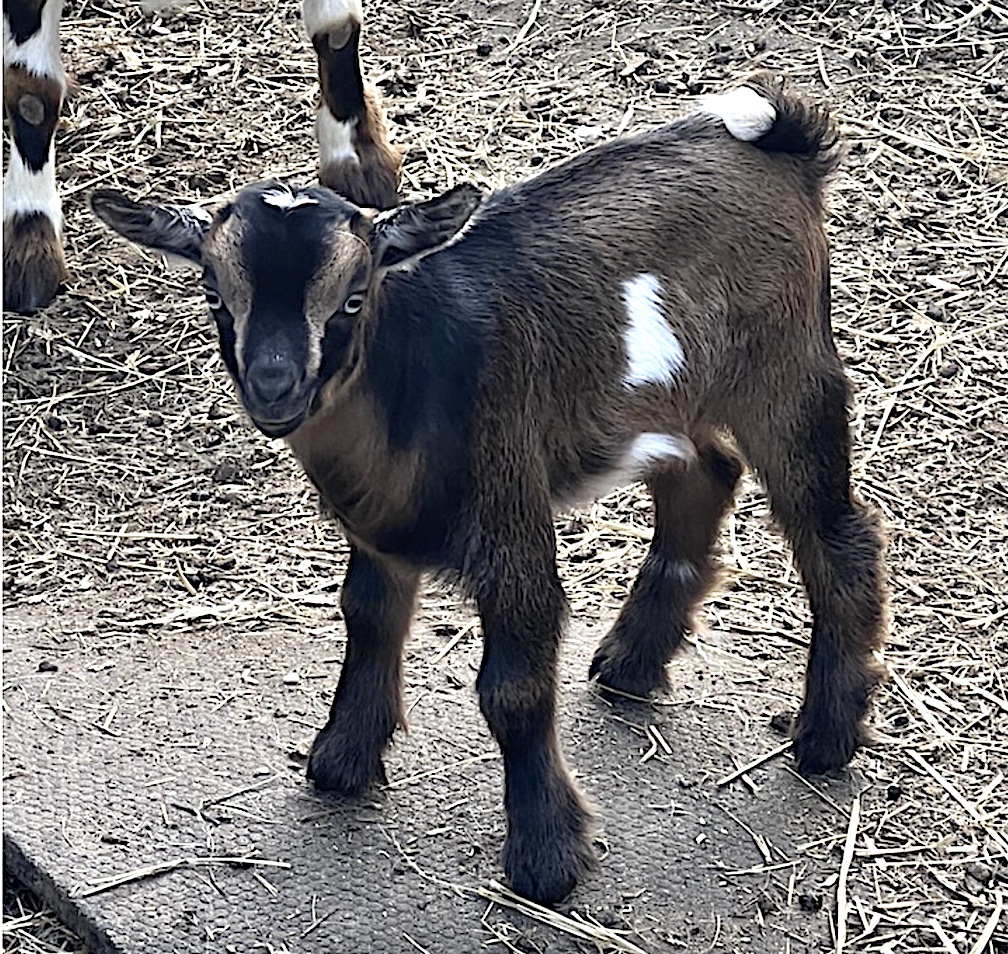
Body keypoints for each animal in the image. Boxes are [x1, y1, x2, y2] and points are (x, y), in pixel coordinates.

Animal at [91, 73, 888, 905]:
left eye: (353, 297)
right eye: (216, 294)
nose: (275, 386)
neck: (413, 369)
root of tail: (782, 146)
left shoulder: (508, 505)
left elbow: (513, 688)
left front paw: (547, 857)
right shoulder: (380, 524)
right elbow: (368, 617)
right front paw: (342, 760)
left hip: (786, 370)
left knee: (837, 532)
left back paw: (826, 736)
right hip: (668, 398)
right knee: (706, 473)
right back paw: (633, 662)